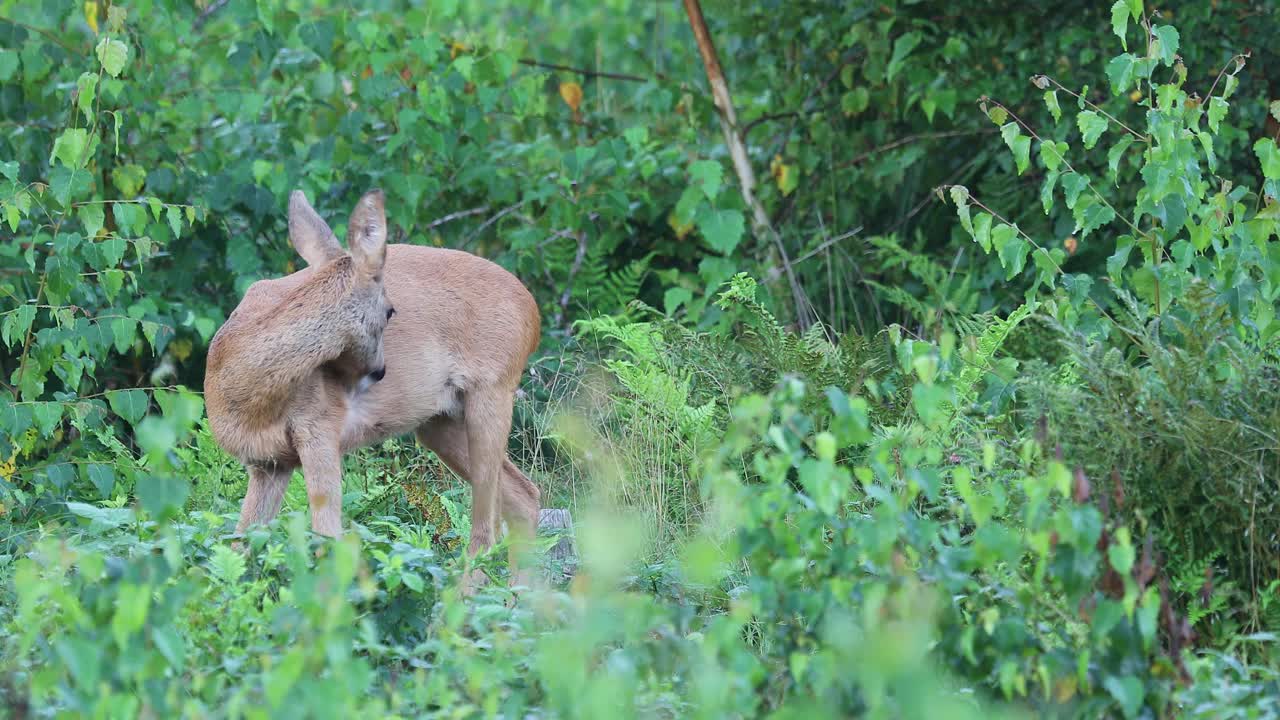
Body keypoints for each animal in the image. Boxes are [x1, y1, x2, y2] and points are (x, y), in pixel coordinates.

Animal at [203, 188, 540, 591]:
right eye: (389, 309)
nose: (379, 372)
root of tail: (532, 309)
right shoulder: (268, 463)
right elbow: (238, 551)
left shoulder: (320, 432)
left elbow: (327, 543)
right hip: (439, 423)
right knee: (523, 497)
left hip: (491, 394)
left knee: (485, 531)